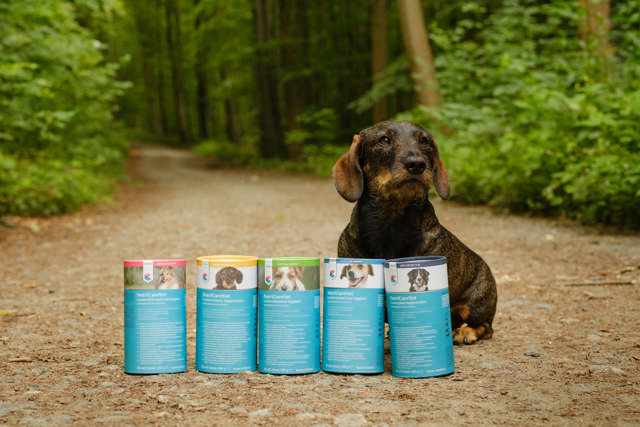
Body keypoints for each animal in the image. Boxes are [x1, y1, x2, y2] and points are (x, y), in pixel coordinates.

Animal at [332, 119, 498, 344]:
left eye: (424, 141)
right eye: (384, 140)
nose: (417, 164)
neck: (391, 223)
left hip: (475, 305)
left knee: (485, 327)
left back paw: (466, 333)